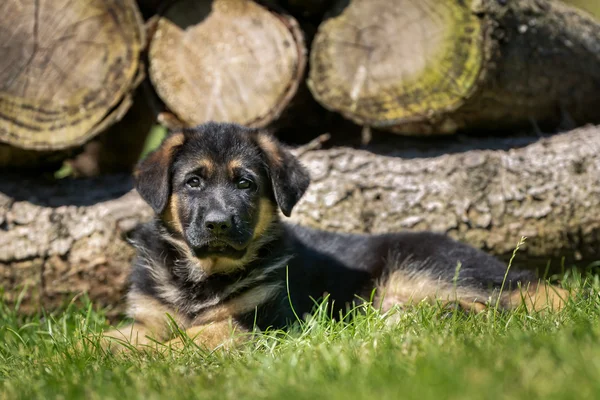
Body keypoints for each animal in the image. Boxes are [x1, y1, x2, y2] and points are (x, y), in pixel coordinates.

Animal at [102, 123, 568, 352]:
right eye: (193, 182)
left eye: (246, 184)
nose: (218, 223)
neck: (202, 275)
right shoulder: (148, 317)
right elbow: (112, 335)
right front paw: (98, 353)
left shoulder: (263, 318)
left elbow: (200, 334)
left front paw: (150, 356)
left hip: (426, 267)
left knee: (529, 298)